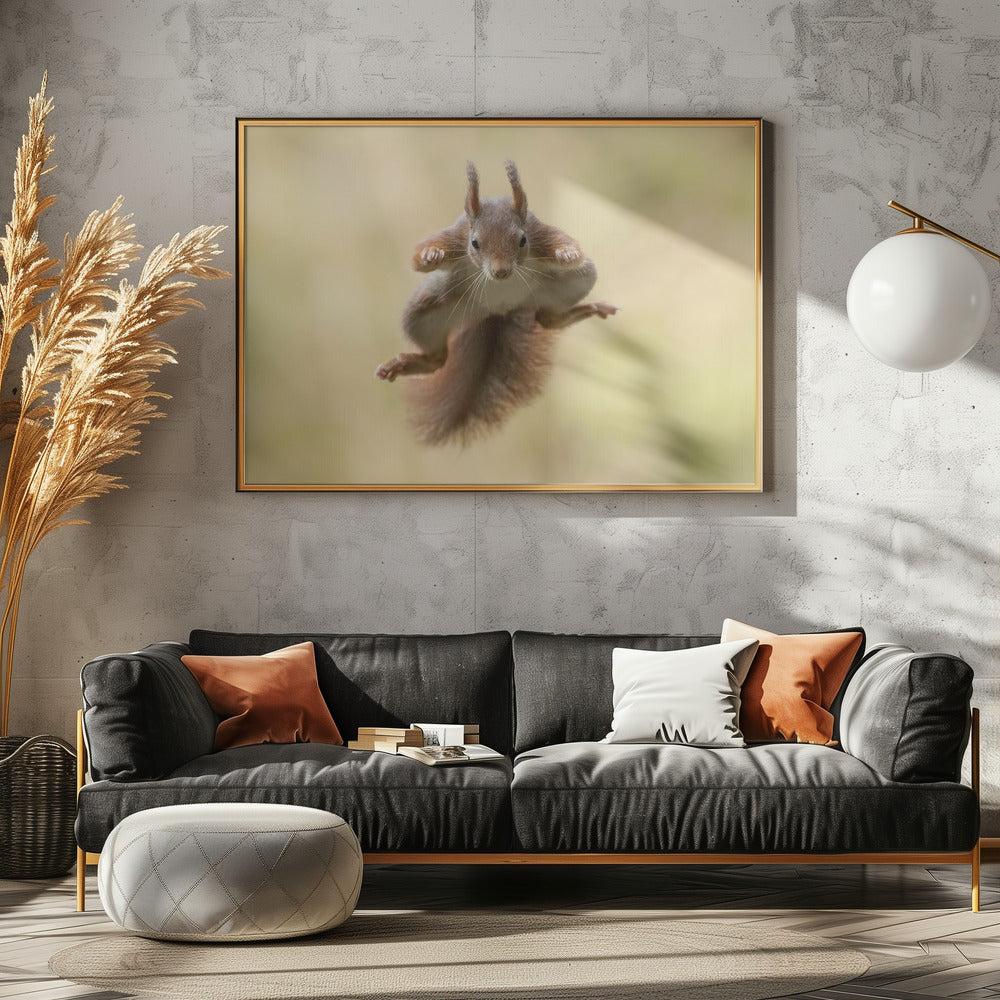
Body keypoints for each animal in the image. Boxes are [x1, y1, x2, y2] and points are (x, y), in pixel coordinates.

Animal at [374, 160, 617, 445]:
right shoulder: (455, 236)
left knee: (548, 319)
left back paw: (590, 308)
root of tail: (497, 312)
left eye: (522, 240)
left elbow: (569, 247)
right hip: (423, 313)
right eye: (474, 243)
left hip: (575, 281)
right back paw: (401, 364)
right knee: (437, 359)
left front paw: (566, 253)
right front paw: (430, 254)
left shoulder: (540, 233)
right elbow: (419, 259)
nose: (501, 272)